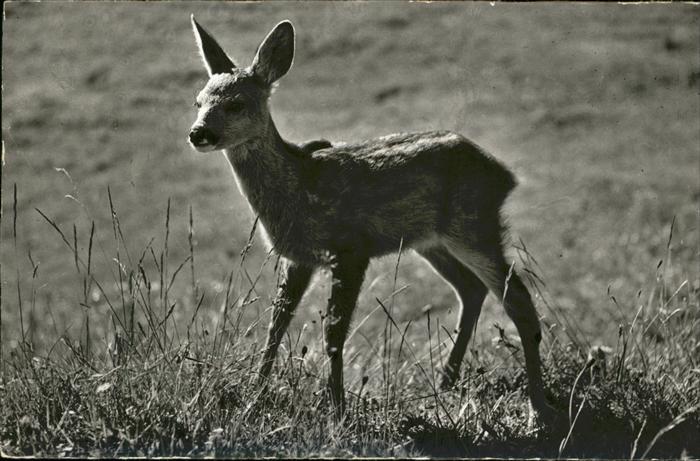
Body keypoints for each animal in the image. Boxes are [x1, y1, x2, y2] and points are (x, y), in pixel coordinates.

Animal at [188, 15, 559, 424]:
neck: (299, 188)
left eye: (236, 104)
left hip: (473, 225)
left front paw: (336, 409)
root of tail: (505, 174)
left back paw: (537, 408)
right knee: (472, 290)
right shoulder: (298, 256)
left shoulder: (351, 248)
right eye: (198, 101)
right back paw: (445, 383)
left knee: (518, 299)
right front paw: (254, 397)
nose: (198, 133)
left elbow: (333, 334)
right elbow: (276, 325)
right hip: (433, 240)